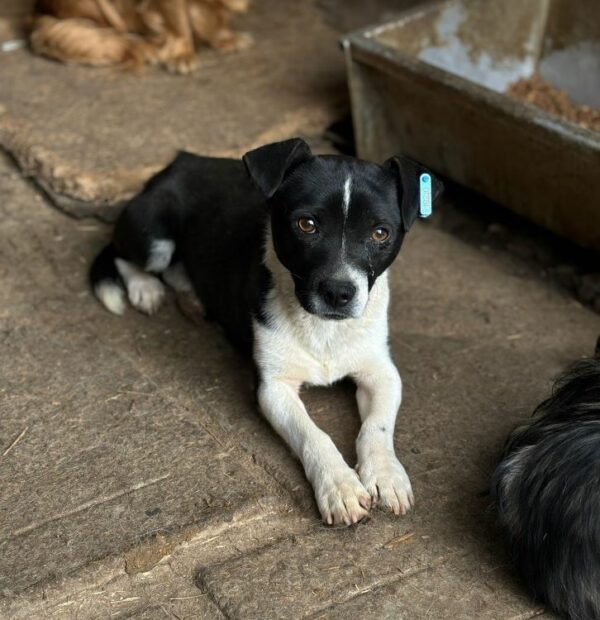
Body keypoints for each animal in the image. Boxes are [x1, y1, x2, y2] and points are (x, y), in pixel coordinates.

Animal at [90, 138, 446, 524]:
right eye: (306, 224)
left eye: (380, 233)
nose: (339, 293)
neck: (324, 328)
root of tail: (183, 160)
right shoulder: (274, 388)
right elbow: (313, 434)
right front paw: (340, 487)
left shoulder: (381, 373)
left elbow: (376, 427)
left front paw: (385, 474)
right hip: (152, 235)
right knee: (123, 255)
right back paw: (145, 288)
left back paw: (190, 292)